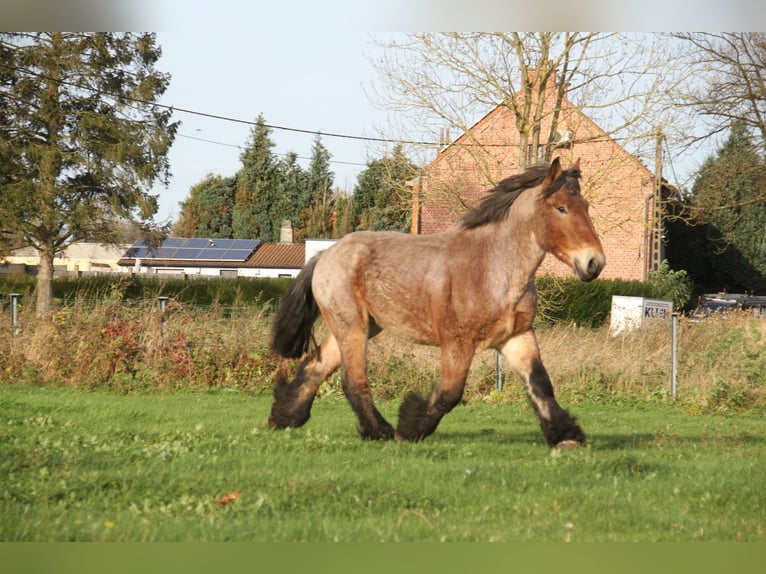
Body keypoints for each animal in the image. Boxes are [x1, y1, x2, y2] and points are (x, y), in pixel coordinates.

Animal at [268, 158, 608, 450]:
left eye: (586, 206)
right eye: (561, 208)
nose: (594, 263)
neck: (492, 267)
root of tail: (325, 254)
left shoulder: (516, 336)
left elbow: (540, 385)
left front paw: (567, 436)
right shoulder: (458, 343)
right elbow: (450, 393)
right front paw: (409, 427)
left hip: (363, 326)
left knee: (316, 366)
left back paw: (284, 417)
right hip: (352, 326)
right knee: (354, 380)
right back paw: (380, 431)